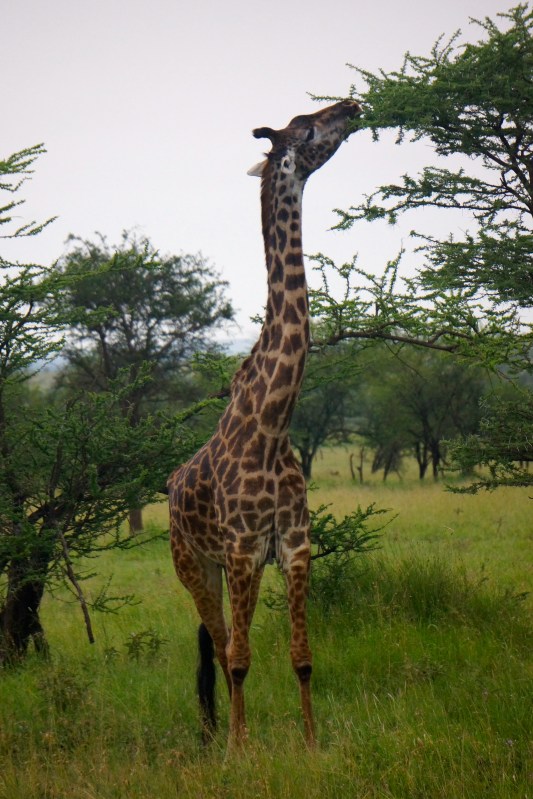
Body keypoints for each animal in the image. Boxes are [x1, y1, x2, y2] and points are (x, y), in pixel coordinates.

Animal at [167, 99, 362, 749]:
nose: (353, 105)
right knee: (221, 645)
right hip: (193, 564)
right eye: (306, 127)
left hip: (218, 567)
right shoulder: (245, 550)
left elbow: (302, 657)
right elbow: (242, 659)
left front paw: (312, 743)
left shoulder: (296, 545)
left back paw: (212, 729)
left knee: (216, 644)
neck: (275, 423)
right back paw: (221, 736)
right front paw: (241, 749)